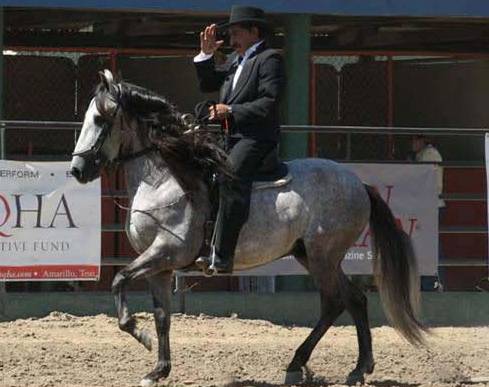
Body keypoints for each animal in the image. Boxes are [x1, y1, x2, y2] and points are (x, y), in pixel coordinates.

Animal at [70, 70, 426, 387]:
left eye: (100, 119)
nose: (77, 169)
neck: (165, 180)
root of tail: (358, 183)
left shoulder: (165, 253)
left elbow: (118, 280)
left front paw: (138, 333)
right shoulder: (160, 267)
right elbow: (162, 318)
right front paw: (157, 370)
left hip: (323, 257)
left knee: (338, 301)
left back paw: (323, 367)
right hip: (311, 255)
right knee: (351, 300)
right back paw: (345, 368)